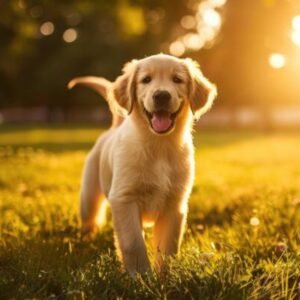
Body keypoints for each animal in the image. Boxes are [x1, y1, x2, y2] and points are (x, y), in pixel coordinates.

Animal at [68, 54, 216, 274]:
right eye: (146, 79)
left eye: (177, 79)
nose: (161, 95)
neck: (158, 146)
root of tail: (115, 125)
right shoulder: (124, 199)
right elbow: (133, 243)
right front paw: (140, 276)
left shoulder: (175, 205)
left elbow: (168, 247)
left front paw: (165, 277)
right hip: (88, 195)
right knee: (90, 219)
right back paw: (86, 241)